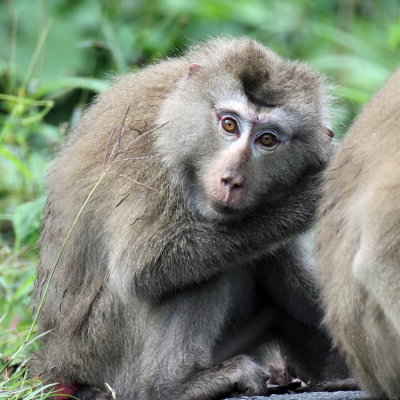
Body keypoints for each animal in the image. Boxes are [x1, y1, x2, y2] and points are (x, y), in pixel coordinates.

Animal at [31, 38, 346, 400]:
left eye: (267, 139)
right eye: (229, 124)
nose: (231, 179)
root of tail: (52, 362)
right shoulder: (146, 157)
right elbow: (142, 265)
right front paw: (308, 196)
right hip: (102, 356)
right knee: (192, 274)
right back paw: (175, 385)